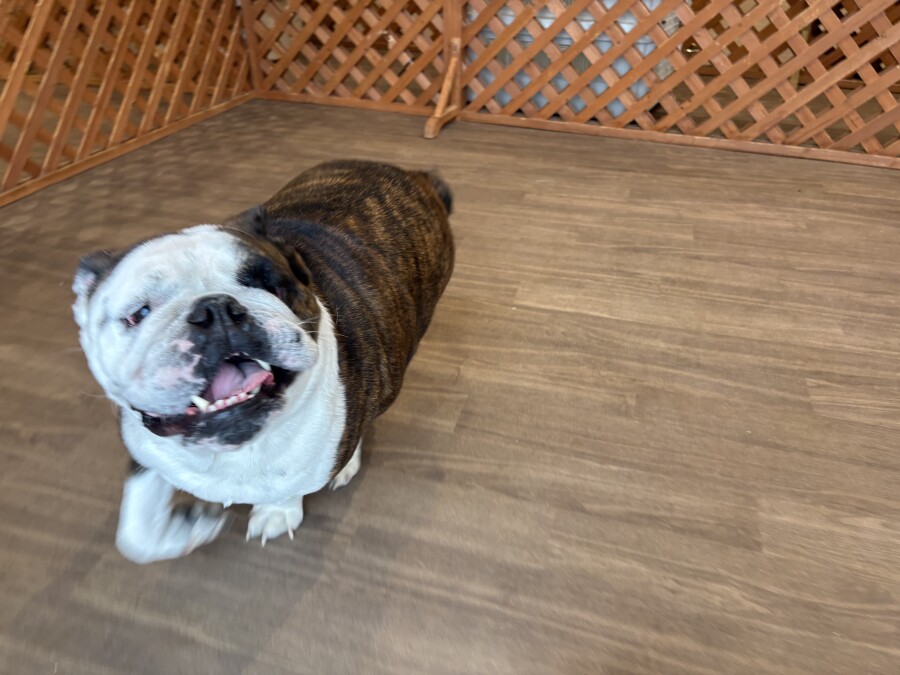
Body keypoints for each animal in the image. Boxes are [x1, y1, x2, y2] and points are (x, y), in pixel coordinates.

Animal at [73, 160, 454, 563]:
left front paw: (276, 511)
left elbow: (289, 486)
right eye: (139, 313)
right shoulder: (144, 453)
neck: (232, 447)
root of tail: (415, 175)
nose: (216, 309)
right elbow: (135, 534)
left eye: (272, 286)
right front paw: (188, 529)